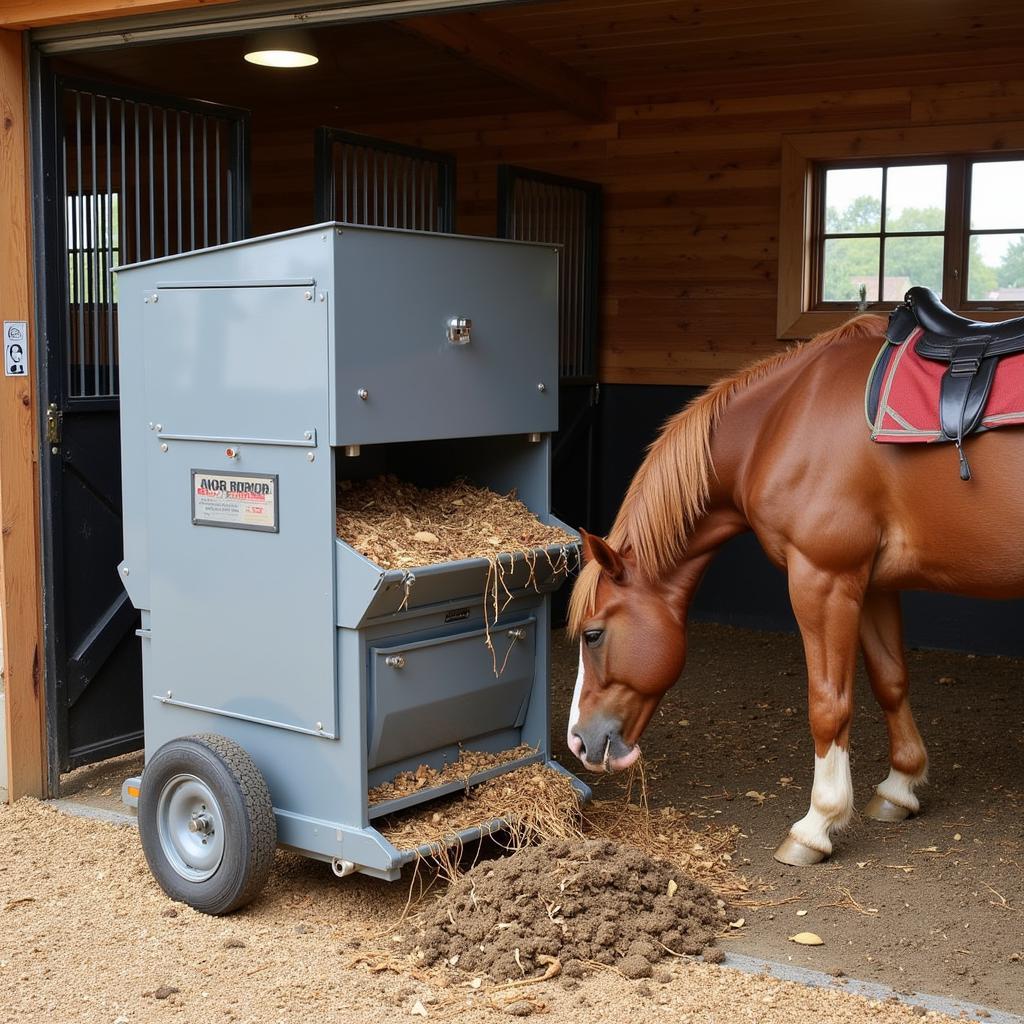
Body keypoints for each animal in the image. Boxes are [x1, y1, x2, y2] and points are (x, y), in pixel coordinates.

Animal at [565, 313, 1024, 864]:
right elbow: (891, 681)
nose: (577, 743)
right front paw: (900, 786)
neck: (779, 424)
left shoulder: (822, 579)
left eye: (593, 634)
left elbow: (828, 705)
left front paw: (816, 824)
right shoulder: (871, 584)